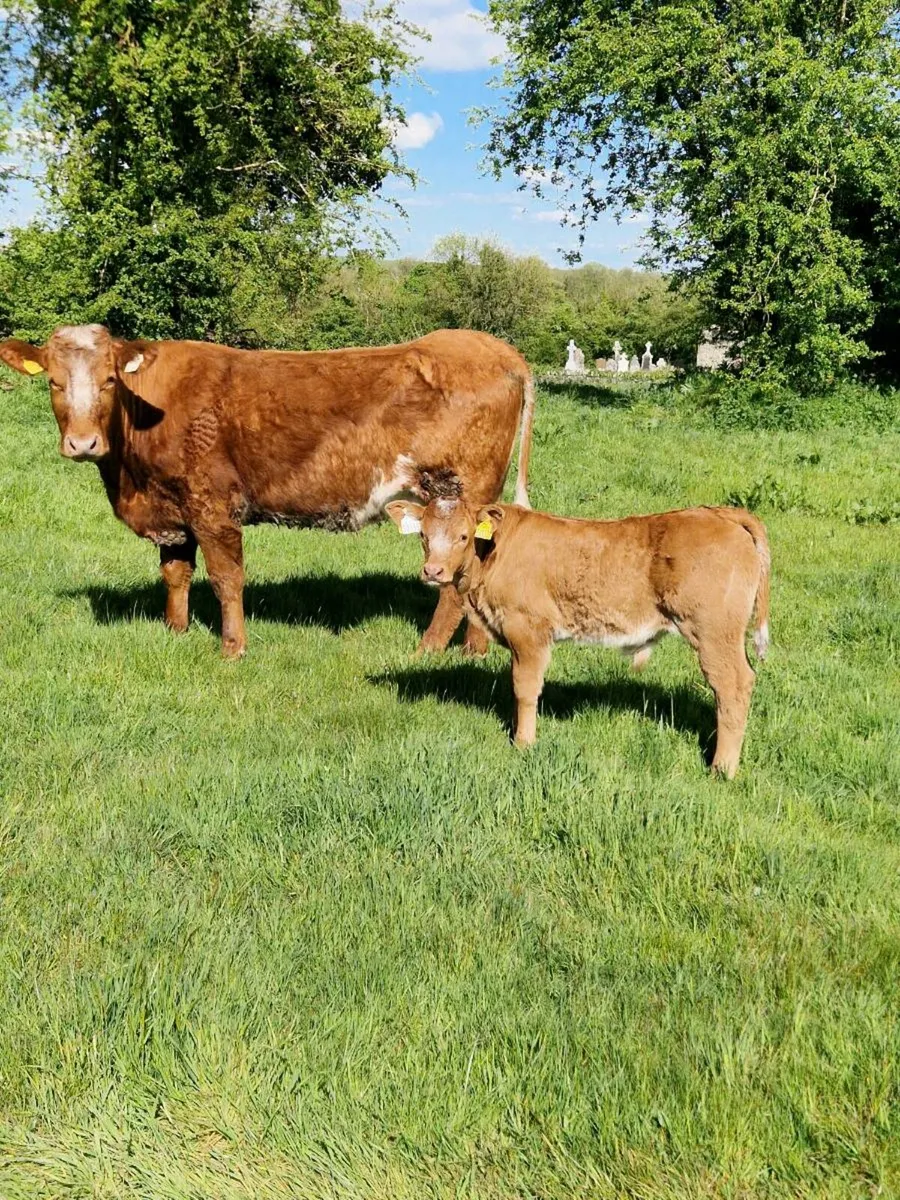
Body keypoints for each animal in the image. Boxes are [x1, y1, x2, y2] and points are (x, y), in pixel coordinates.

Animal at [0, 325, 534, 658]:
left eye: (109, 380)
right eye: (54, 382)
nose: (83, 443)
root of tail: (496, 348)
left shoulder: (212, 506)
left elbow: (226, 579)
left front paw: (232, 648)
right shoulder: (174, 512)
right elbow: (175, 574)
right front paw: (176, 630)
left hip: (455, 495)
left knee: (455, 585)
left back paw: (428, 649)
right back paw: (473, 650)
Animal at [386, 480, 770, 778]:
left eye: (464, 536)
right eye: (423, 535)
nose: (433, 571)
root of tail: (719, 513)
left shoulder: (528, 630)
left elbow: (525, 688)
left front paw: (523, 743)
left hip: (714, 633)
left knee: (733, 686)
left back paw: (722, 769)